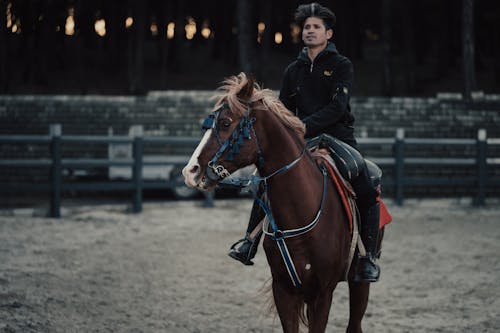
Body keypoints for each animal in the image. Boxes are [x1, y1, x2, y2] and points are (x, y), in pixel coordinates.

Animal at [183, 73, 378, 332]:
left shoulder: (323, 294)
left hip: (359, 283)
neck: (302, 211)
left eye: (225, 123)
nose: (190, 171)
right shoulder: (284, 290)